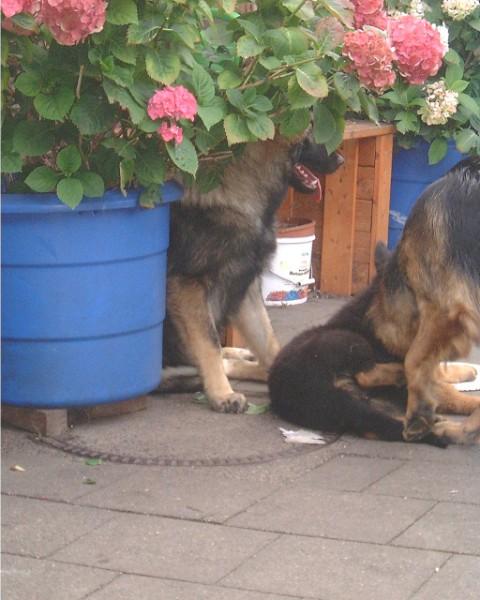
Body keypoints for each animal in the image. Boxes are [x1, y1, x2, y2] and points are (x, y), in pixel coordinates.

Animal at [162, 134, 344, 413]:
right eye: (310, 133)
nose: (341, 160)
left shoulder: (244, 284)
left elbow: (267, 341)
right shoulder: (188, 287)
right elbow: (208, 344)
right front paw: (222, 394)